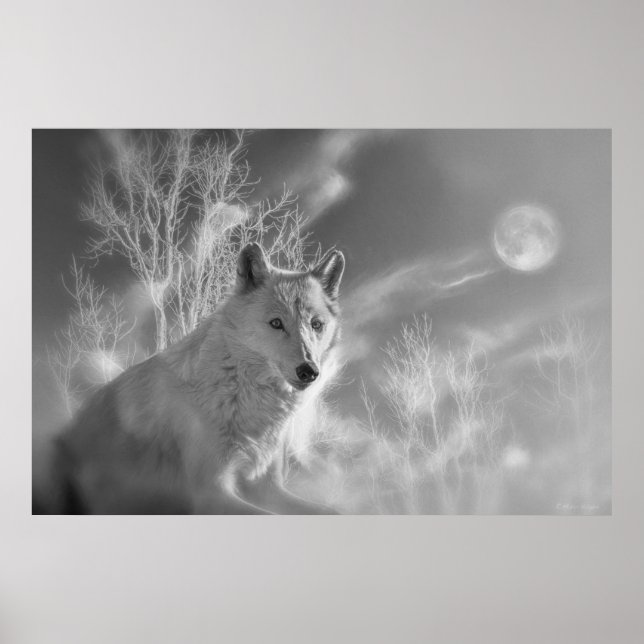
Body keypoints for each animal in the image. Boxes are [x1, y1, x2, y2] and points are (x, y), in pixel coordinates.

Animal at [40, 243, 345, 514]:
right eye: (276, 323)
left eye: (316, 325)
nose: (308, 371)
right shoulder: (211, 494)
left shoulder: (267, 488)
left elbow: (333, 512)